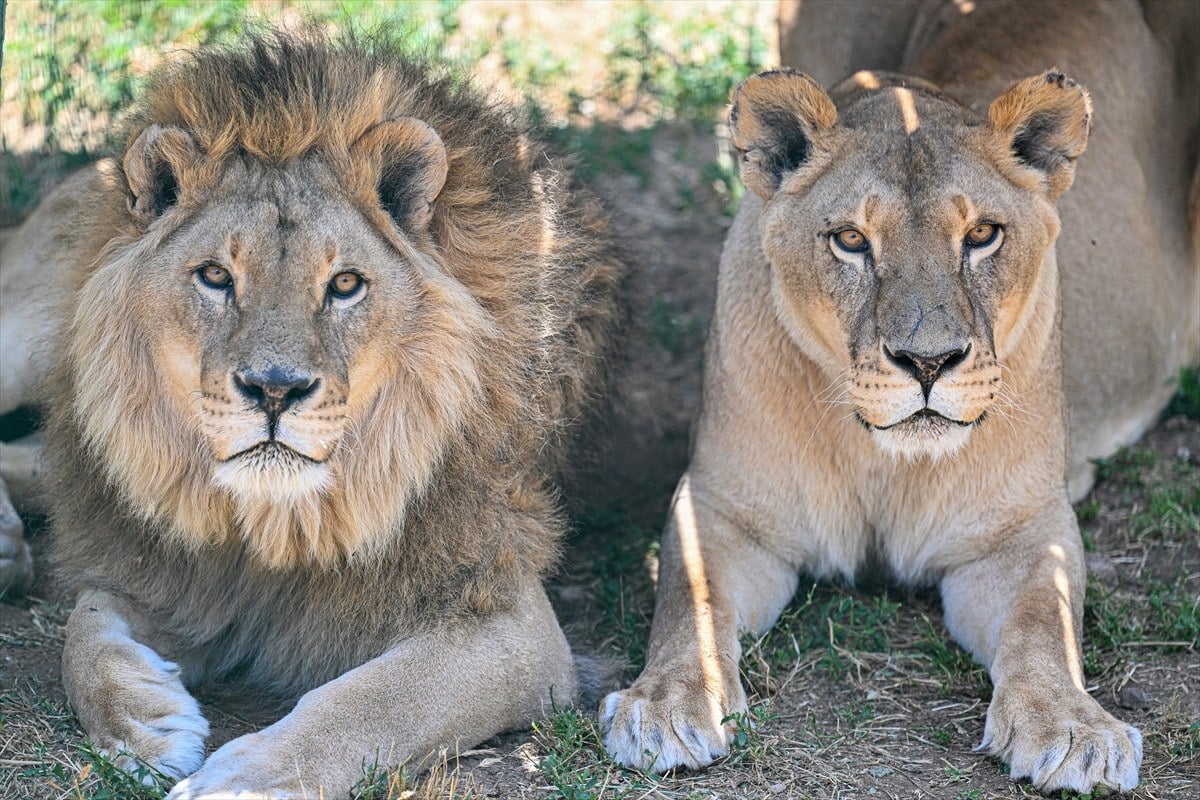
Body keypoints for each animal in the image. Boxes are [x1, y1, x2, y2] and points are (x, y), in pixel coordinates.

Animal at [0, 35, 628, 796]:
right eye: (215, 276)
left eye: (345, 284)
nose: (275, 390)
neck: (277, 521)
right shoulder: (171, 576)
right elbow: (84, 630)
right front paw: (143, 722)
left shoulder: (512, 622)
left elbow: (375, 699)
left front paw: (243, 777)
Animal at [604, 0, 1195, 796]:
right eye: (852, 240)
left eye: (982, 234)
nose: (928, 361)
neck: (881, 460)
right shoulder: (723, 508)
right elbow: (687, 597)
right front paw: (663, 705)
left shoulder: (1021, 528)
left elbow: (1047, 617)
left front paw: (1073, 728)